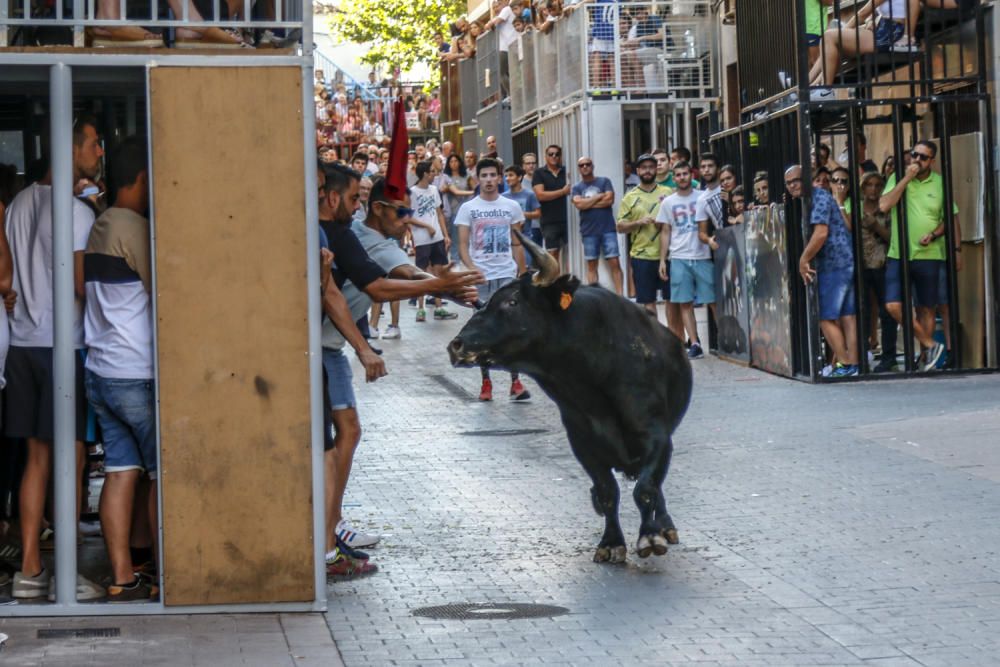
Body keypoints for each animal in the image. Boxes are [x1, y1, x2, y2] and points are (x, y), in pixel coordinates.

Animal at [450, 231, 692, 564]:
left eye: (512, 301)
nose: (457, 345)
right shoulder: (582, 443)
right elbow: (607, 493)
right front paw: (611, 543)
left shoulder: (657, 436)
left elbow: (646, 489)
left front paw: (650, 535)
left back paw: (666, 526)